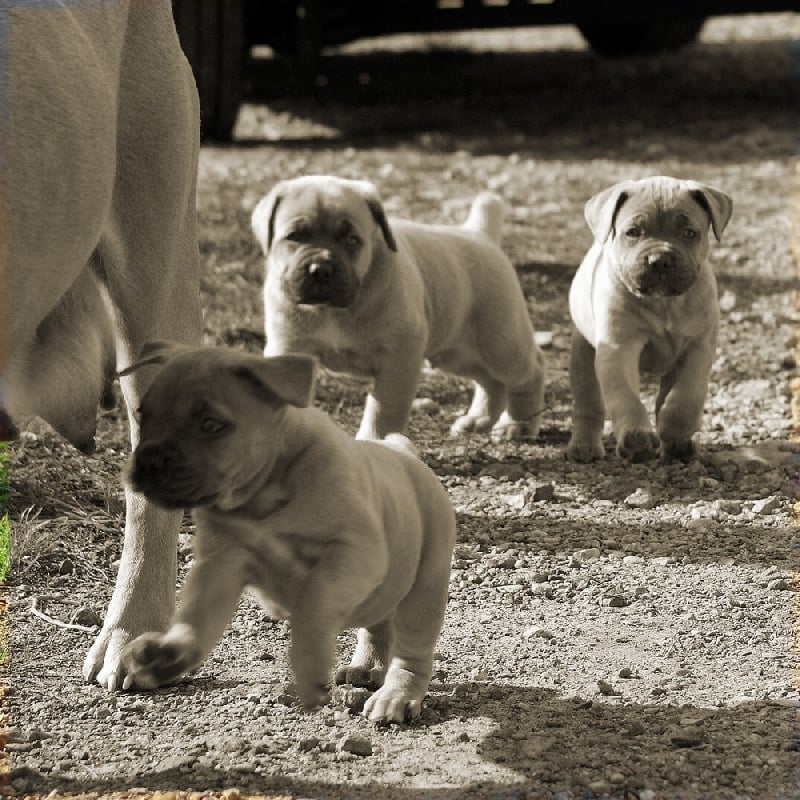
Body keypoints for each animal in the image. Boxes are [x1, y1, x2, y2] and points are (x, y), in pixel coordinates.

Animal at [119, 340, 456, 720]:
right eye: (143, 416)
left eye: (211, 425)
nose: (150, 460)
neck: (265, 490)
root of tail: (403, 451)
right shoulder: (220, 565)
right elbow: (196, 617)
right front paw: (166, 655)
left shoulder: (353, 551)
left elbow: (314, 601)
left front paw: (309, 666)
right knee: (378, 622)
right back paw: (368, 667)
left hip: (426, 584)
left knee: (412, 649)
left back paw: (396, 696)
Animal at [253, 174, 548, 444]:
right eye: (294, 236)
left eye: (351, 240)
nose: (321, 270)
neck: (332, 311)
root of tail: (479, 234)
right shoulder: (289, 347)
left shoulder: (398, 356)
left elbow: (385, 408)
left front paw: (377, 441)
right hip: (457, 352)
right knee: (490, 382)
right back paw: (480, 419)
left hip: (501, 343)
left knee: (529, 372)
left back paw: (517, 425)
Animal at [568, 175, 732, 462]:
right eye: (633, 232)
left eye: (689, 233)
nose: (660, 259)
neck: (665, 303)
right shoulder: (618, 349)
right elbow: (625, 396)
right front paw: (636, 437)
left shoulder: (697, 348)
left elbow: (686, 396)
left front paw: (675, 431)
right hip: (583, 357)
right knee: (588, 405)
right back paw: (584, 446)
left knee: (665, 397)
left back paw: (678, 445)